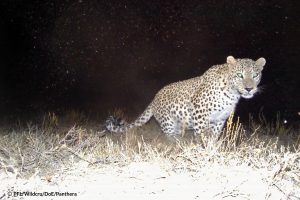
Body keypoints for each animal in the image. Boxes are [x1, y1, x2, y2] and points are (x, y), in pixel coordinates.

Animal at [105, 55, 264, 138]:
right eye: (239, 75)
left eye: (255, 75)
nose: (249, 89)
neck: (232, 93)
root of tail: (155, 97)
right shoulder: (200, 111)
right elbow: (201, 135)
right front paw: (203, 151)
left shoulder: (220, 119)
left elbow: (213, 136)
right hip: (168, 123)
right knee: (170, 138)